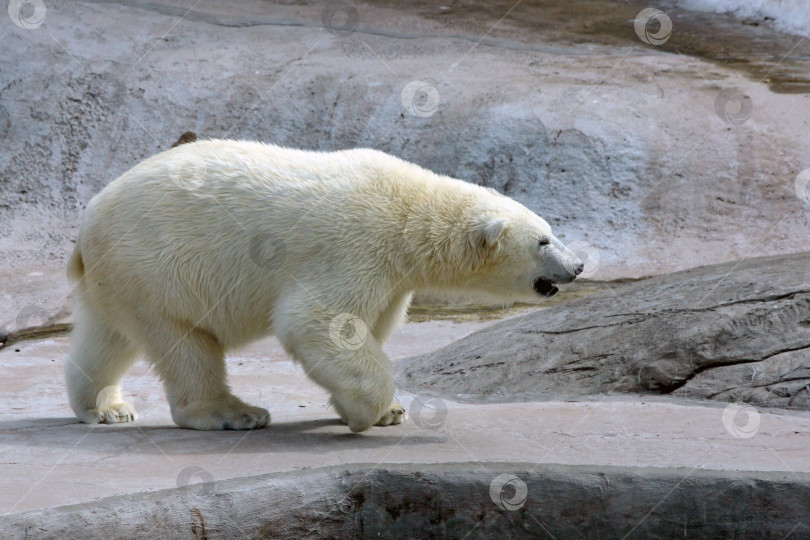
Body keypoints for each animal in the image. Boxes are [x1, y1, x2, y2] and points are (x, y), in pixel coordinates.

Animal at [63, 139, 580, 430]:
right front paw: (370, 413)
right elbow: (319, 323)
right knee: (186, 343)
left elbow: (368, 327)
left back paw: (105, 408)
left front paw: (386, 411)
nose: (575, 266)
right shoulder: (356, 247)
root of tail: (87, 227)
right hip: (160, 265)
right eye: (543, 240)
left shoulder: (392, 279)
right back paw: (235, 413)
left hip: (122, 279)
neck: (410, 214)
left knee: (108, 338)